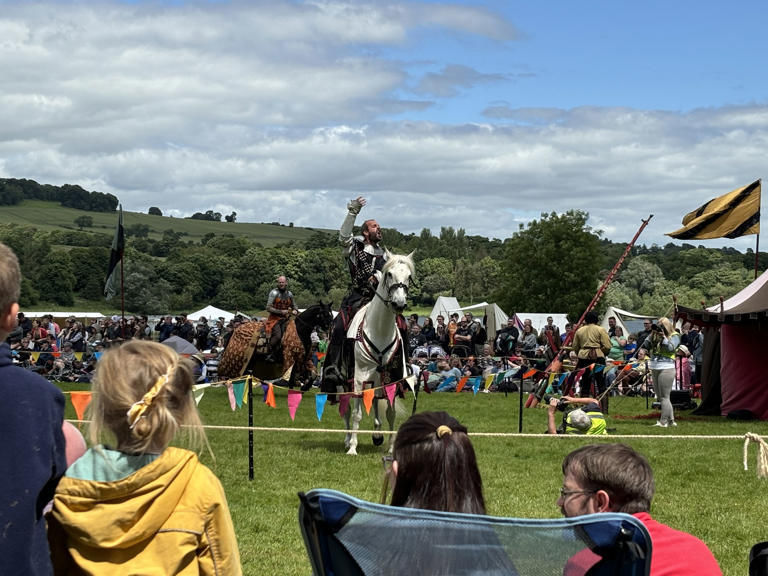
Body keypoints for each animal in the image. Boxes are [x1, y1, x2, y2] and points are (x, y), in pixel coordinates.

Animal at [342, 250, 414, 456]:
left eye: (408, 276)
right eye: (389, 274)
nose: (399, 304)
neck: (379, 329)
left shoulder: (391, 379)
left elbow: (391, 413)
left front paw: (390, 447)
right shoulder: (359, 379)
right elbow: (357, 414)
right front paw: (353, 447)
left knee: (374, 400)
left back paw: (376, 434)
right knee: (347, 410)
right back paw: (347, 439)